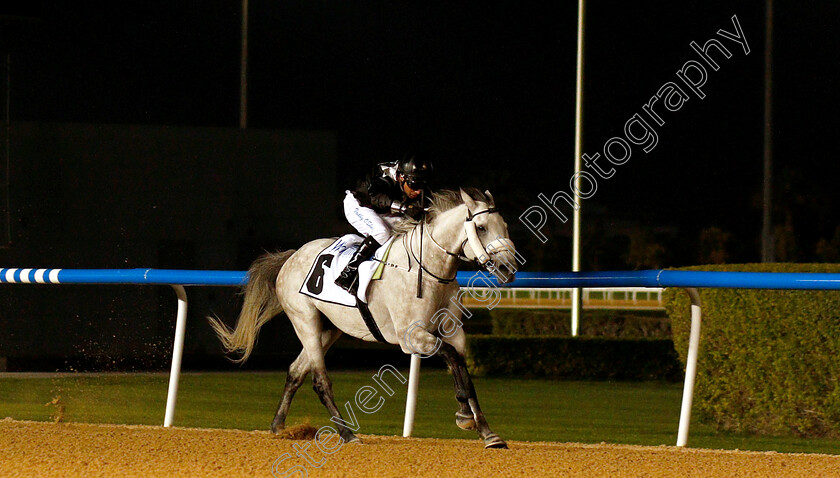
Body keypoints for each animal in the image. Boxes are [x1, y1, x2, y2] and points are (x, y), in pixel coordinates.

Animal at [207, 190, 516, 448]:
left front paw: (486, 431)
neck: (429, 268)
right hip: (305, 321)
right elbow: (452, 358)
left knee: (296, 371)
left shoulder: (453, 331)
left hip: (329, 329)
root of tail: (291, 257)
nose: (508, 268)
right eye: (481, 227)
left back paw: (278, 426)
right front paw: (465, 415)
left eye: (504, 225)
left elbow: (462, 367)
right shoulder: (412, 337)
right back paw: (347, 434)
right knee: (320, 381)